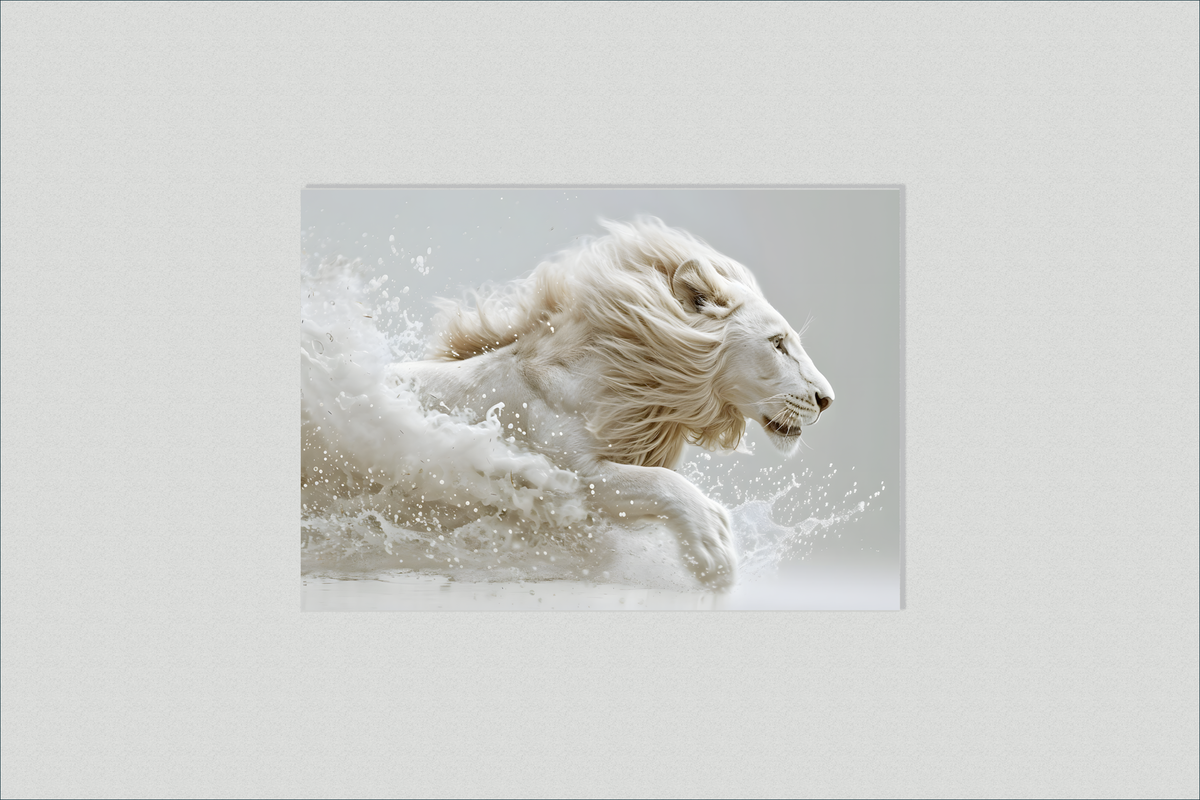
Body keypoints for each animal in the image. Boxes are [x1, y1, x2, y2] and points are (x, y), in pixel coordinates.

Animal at [388, 216, 833, 588]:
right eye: (778, 343)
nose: (827, 399)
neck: (633, 390)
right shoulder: (562, 476)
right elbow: (663, 483)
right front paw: (714, 547)